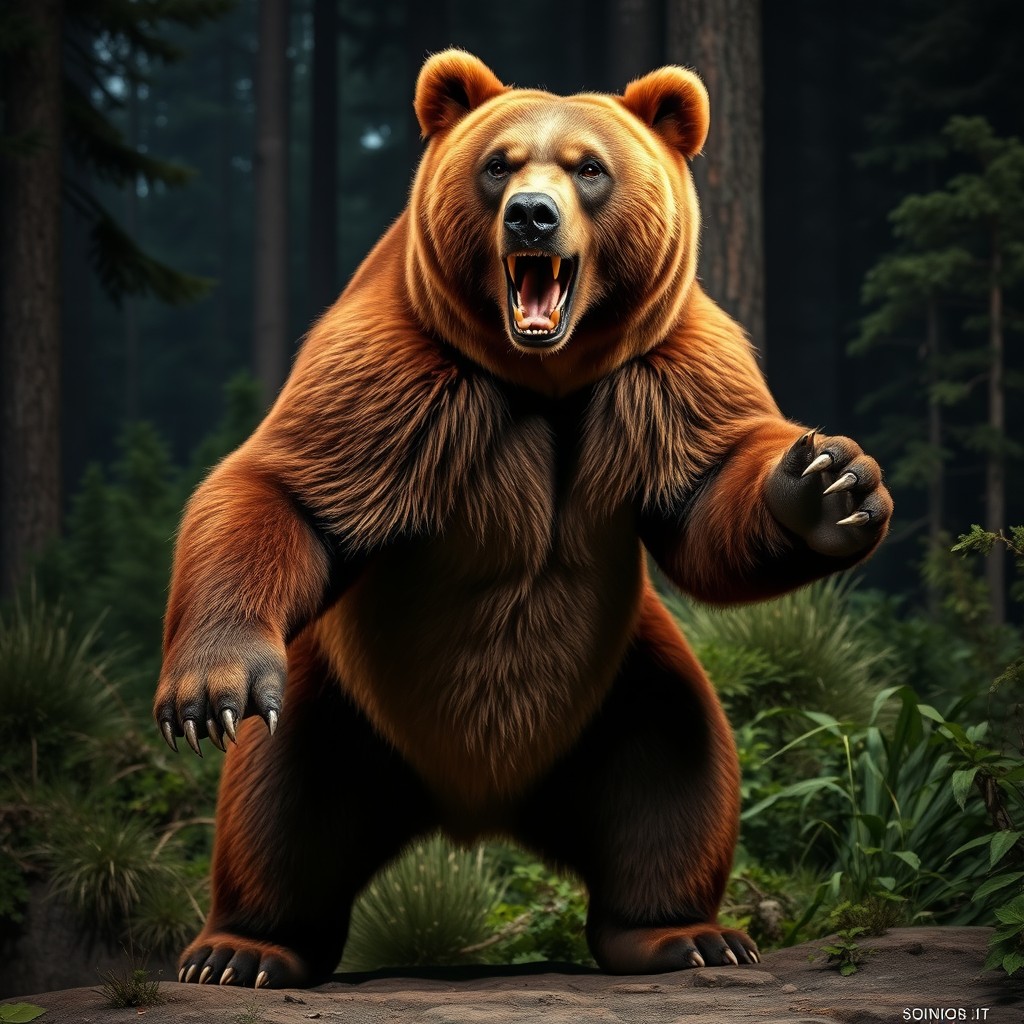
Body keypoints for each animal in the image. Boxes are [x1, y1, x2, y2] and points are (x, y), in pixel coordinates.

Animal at [154, 50, 892, 989]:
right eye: (499, 163)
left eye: (589, 167)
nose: (532, 216)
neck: (544, 378)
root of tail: (475, 804)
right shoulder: (398, 371)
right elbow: (291, 491)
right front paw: (205, 692)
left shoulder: (666, 369)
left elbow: (709, 496)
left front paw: (830, 485)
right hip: (336, 701)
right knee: (280, 806)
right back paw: (242, 950)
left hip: (623, 691)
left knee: (677, 776)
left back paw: (683, 934)